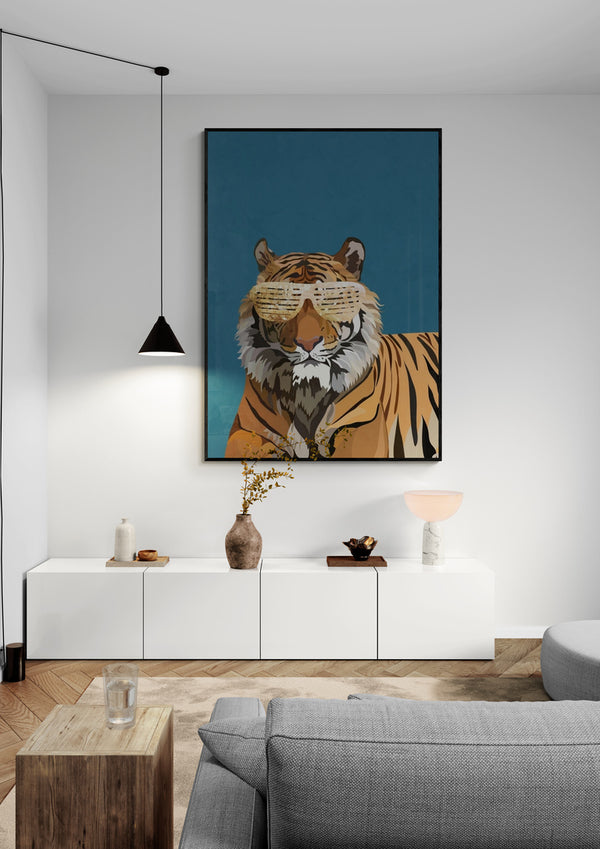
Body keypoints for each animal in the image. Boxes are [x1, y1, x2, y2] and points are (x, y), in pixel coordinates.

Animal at [225, 237, 439, 459]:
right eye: (287, 302)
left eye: (327, 300)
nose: (308, 343)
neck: (308, 390)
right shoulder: (244, 429)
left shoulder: (360, 422)